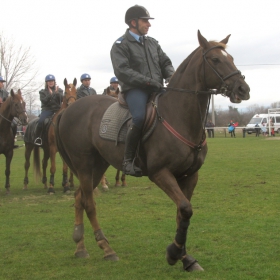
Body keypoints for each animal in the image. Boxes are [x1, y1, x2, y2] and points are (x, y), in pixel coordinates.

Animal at [54, 31, 249, 272]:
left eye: (231, 57)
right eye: (215, 60)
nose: (243, 89)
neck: (178, 115)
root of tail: (69, 109)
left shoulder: (190, 176)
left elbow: (182, 214)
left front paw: (185, 258)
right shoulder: (160, 174)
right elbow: (185, 208)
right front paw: (174, 253)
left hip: (98, 165)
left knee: (80, 196)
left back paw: (80, 247)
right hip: (84, 164)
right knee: (89, 203)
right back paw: (107, 249)